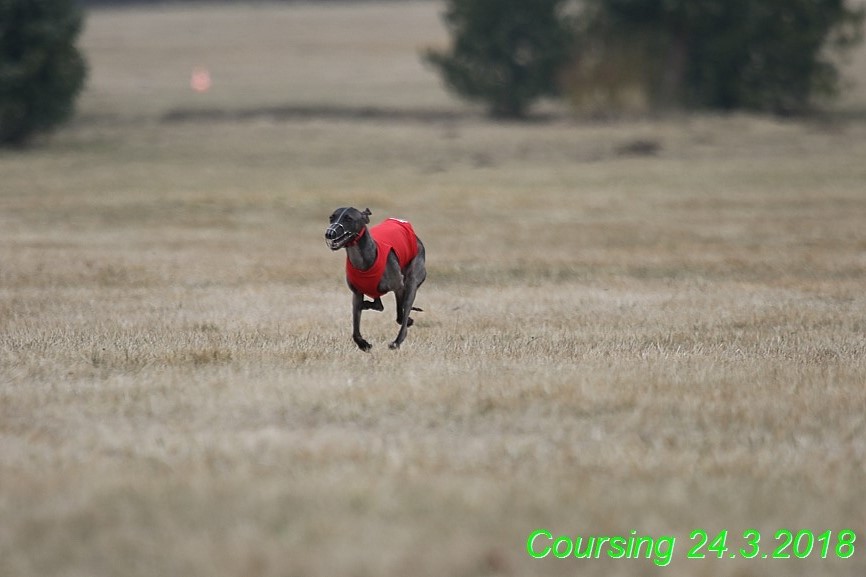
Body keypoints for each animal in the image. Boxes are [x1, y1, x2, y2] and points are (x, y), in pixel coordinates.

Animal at [324, 207, 426, 352]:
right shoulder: (357, 293)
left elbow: (401, 315)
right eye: (331, 217)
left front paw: (405, 326)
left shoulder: (399, 286)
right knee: (379, 305)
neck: (364, 262)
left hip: (412, 279)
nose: (329, 233)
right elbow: (355, 327)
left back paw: (397, 341)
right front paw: (363, 344)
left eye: (349, 218)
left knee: (403, 308)